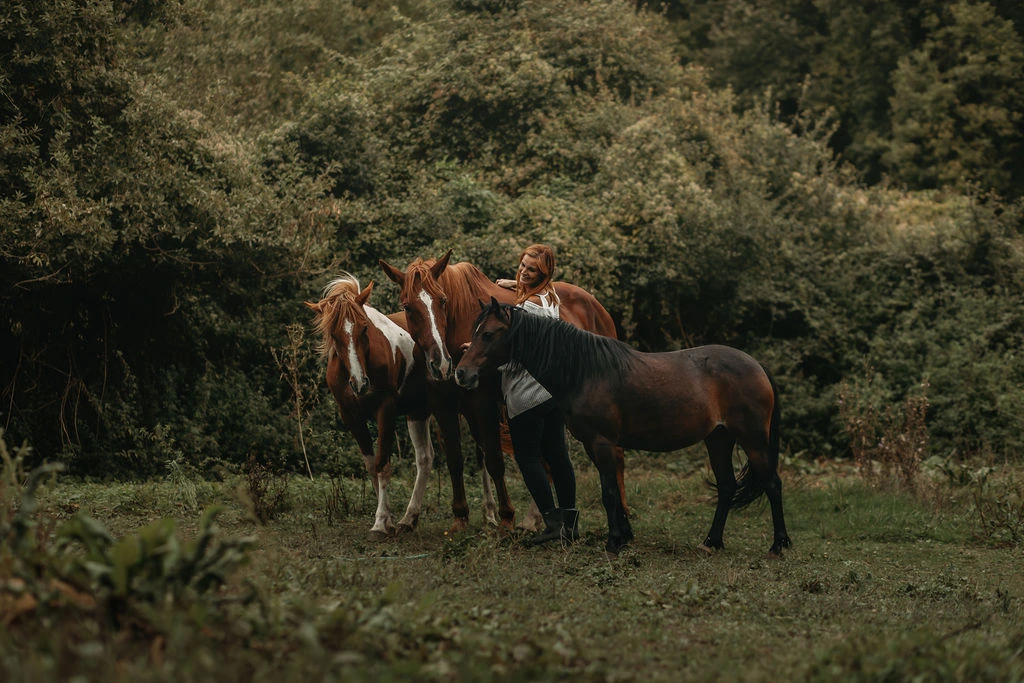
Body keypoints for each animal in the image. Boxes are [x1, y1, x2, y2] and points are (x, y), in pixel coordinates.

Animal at [305, 274, 501, 536]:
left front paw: (380, 522)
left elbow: (382, 464)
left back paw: (490, 514)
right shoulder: (351, 416)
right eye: (334, 334)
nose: (360, 383)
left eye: (364, 328)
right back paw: (410, 517)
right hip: (418, 412)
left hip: (466, 410)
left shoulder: (385, 410)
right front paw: (387, 517)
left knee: (481, 455)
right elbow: (372, 466)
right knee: (426, 458)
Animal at [380, 250, 626, 532]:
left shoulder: (484, 403)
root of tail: (598, 308)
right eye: (407, 307)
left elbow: (494, 460)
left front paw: (507, 518)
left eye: (442, 300)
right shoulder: (443, 405)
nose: (440, 363)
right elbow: (455, 459)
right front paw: (460, 516)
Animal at [456, 301, 790, 557]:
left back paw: (778, 546)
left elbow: (608, 492)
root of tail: (756, 365)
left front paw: (614, 543)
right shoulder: (595, 445)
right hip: (718, 439)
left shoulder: (603, 443)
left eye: (488, 334)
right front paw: (623, 536)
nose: (462, 373)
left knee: (773, 484)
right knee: (727, 487)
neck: (585, 370)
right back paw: (711, 542)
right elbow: (614, 490)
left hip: (752, 440)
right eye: (474, 332)